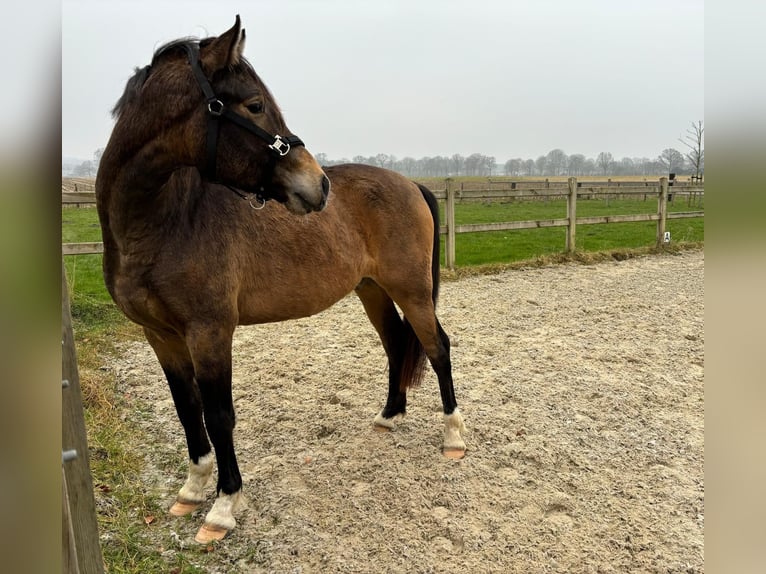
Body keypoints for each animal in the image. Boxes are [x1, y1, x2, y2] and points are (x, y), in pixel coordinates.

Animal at [96, 14, 468, 544]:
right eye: (254, 105)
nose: (318, 185)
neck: (166, 222)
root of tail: (410, 183)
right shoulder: (160, 337)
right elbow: (188, 409)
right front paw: (192, 490)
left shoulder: (210, 332)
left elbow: (219, 415)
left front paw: (223, 506)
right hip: (372, 291)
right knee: (398, 344)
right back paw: (388, 418)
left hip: (411, 289)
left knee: (437, 347)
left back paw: (453, 436)